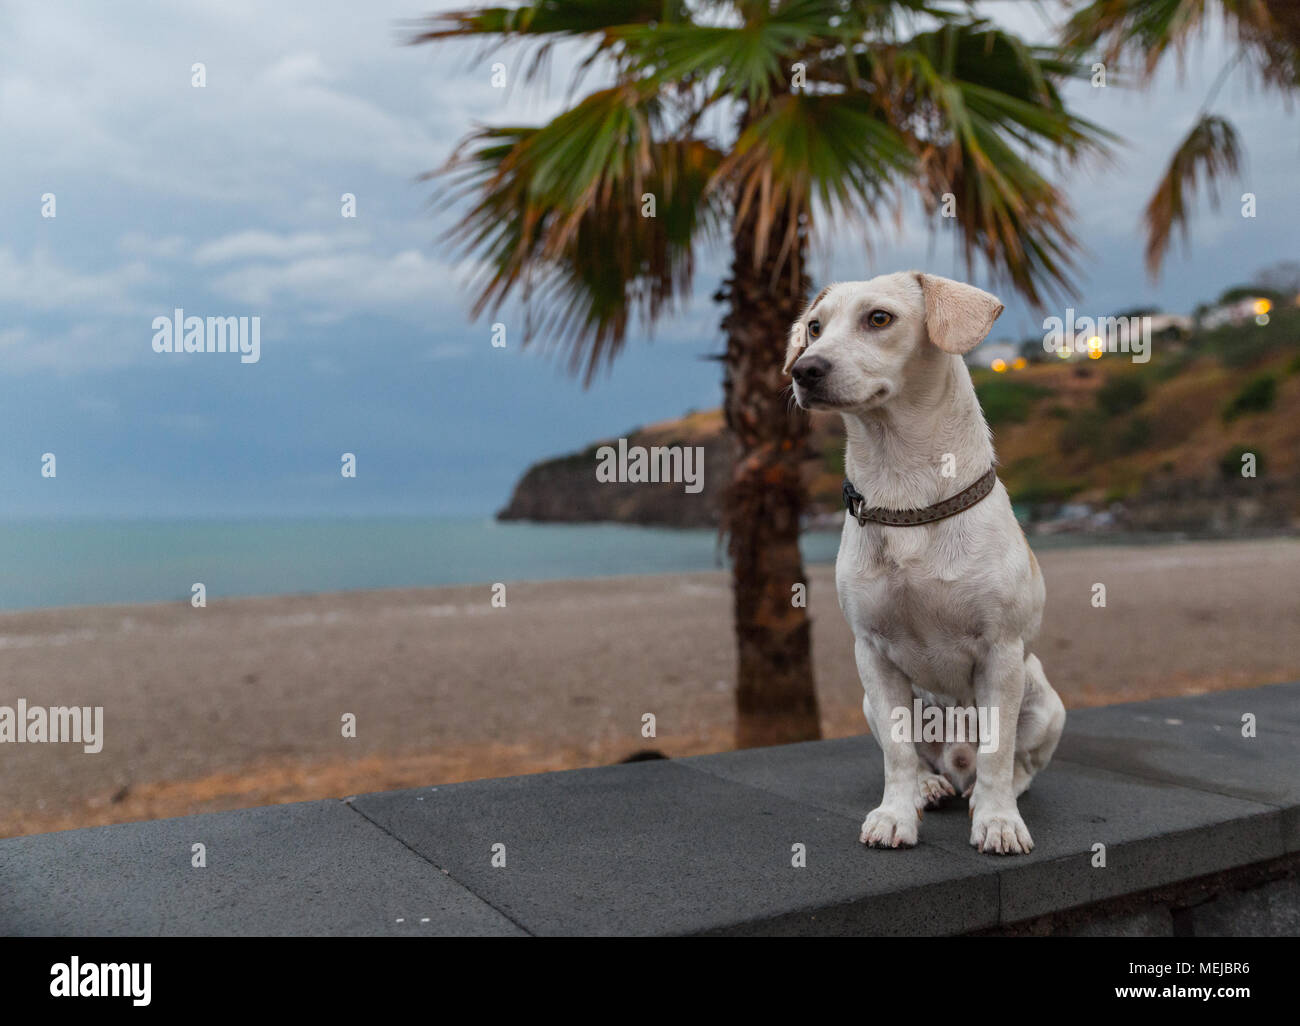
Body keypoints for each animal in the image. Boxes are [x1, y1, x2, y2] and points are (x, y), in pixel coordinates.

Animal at [785, 267, 1060, 853]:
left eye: (879, 318)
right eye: (814, 327)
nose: (804, 369)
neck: (905, 491)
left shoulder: (1001, 653)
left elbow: (998, 751)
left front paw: (998, 821)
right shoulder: (872, 653)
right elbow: (896, 751)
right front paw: (895, 815)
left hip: (1044, 700)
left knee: (1017, 764)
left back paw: (988, 792)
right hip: (877, 704)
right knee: (920, 757)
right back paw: (929, 787)